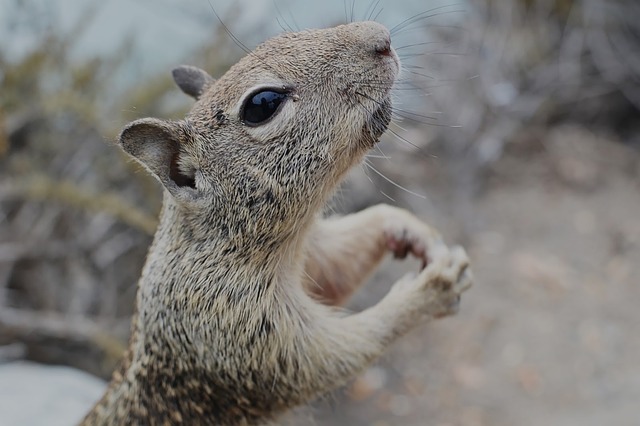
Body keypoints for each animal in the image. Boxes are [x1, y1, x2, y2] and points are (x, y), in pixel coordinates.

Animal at [81, 20, 470, 426]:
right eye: (262, 104)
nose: (382, 39)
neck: (224, 244)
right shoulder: (240, 332)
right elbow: (335, 354)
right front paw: (430, 289)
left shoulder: (313, 253)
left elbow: (341, 265)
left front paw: (406, 226)